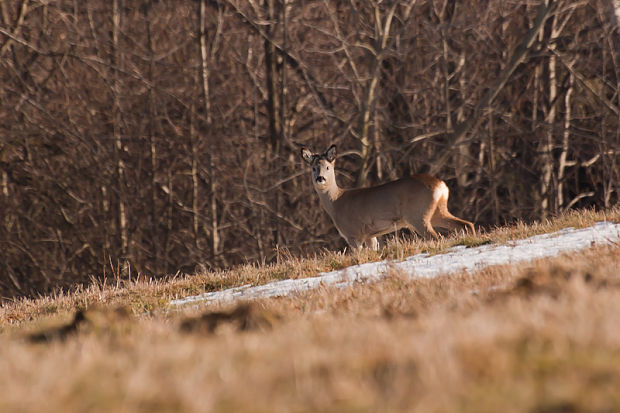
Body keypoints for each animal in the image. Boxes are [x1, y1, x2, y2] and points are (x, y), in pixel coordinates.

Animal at [300, 143, 474, 249]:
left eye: (328, 167)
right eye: (314, 168)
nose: (320, 178)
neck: (336, 202)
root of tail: (441, 186)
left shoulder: (353, 234)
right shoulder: (370, 235)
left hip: (418, 215)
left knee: (436, 237)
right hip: (438, 211)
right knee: (466, 224)